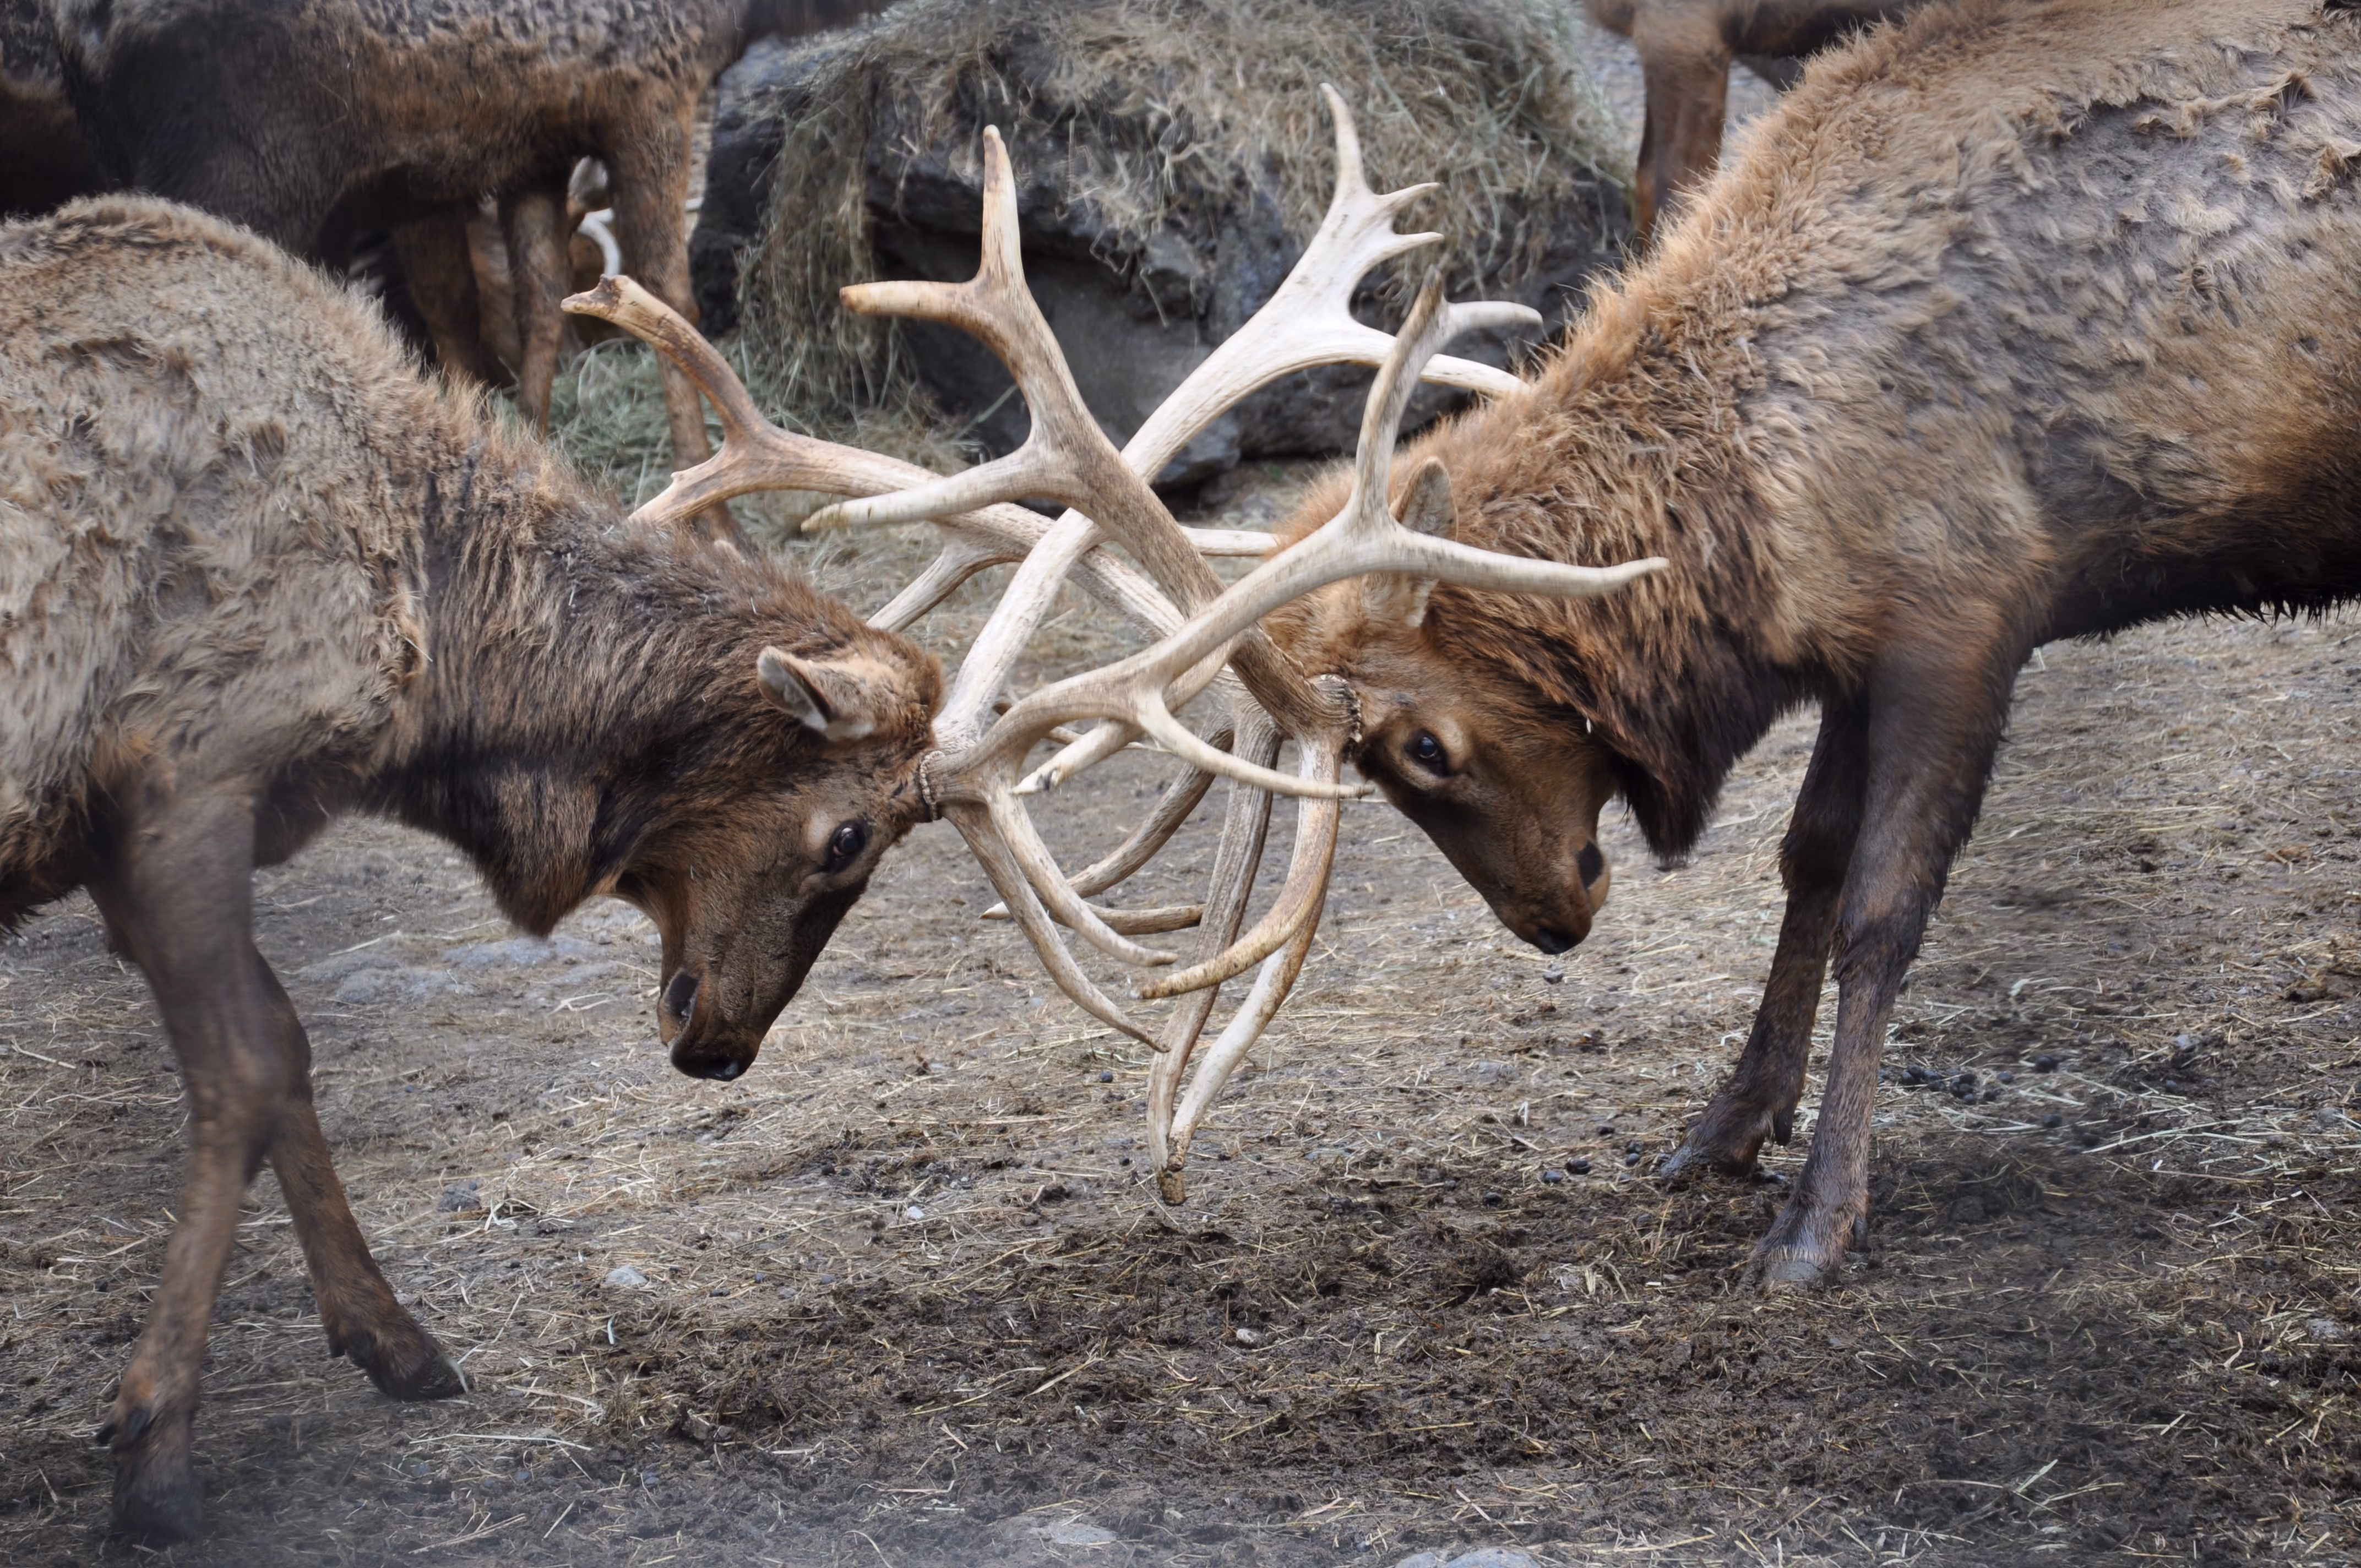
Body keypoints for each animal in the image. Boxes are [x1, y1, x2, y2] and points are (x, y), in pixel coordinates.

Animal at [5, 86, 1656, 1537]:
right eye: (848, 835)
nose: (716, 1041)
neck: (440, 671)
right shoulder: (181, 767)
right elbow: (253, 1060)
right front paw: (157, 1443)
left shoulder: (137, 821)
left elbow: (274, 1061)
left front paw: (387, 1341)